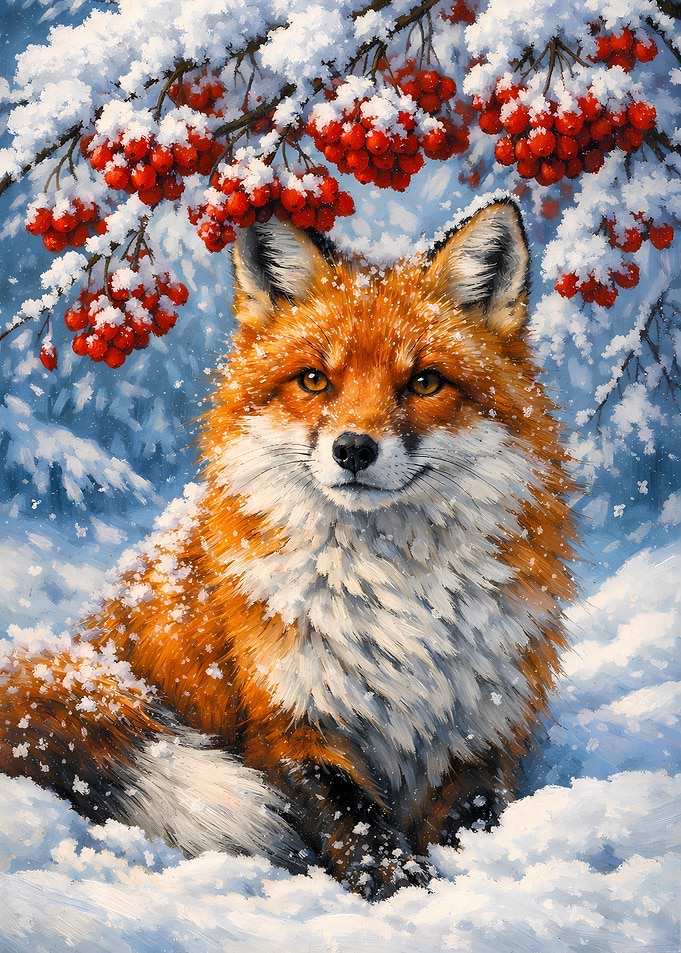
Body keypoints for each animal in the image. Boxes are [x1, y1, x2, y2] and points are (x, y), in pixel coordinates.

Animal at [0, 198, 574, 899]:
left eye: (424, 383)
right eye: (314, 380)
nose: (353, 449)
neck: (396, 606)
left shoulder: (485, 730)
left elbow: (470, 817)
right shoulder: (287, 725)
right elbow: (360, 825)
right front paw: (408, 892)